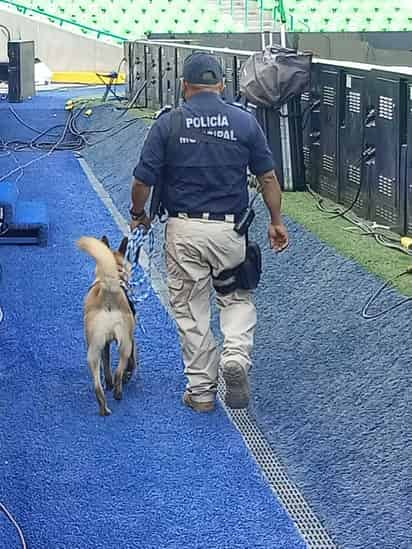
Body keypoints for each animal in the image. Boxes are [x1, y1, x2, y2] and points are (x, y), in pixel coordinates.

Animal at [75, 235, 137, 416]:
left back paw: (104, 406)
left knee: (98, 384)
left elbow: (107, 363)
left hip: (94, 349)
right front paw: (129, 374)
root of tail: (108, 290)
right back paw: (118, 393)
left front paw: (108, 382)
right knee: (119, 372)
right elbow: (133, 360)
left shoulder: (106, 345)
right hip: (124, 344)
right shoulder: (133, 338)